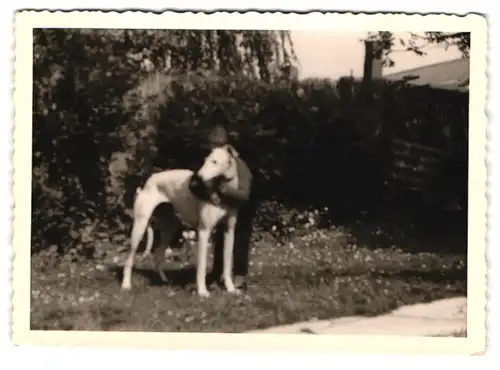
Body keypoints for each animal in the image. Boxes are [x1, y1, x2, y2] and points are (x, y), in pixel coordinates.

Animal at [119, 144, 240, 298]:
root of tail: (149, 180)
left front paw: (231, 288)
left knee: (158, 255)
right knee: (130, 259)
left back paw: (164, 280)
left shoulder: (229, 231)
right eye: (205, 160)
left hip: (169, 228)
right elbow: (201, 266)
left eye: (214, 162)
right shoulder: (204, 231)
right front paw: (202, 291)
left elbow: (227, 265)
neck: (222, 191)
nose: (197, 178)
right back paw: (126, 284)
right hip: (140, 227)